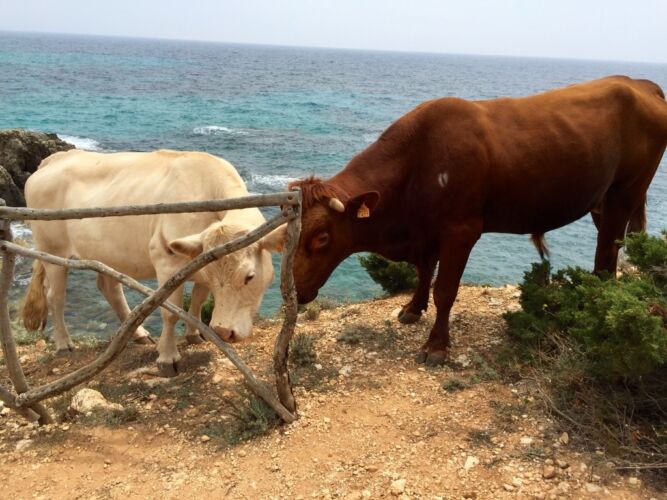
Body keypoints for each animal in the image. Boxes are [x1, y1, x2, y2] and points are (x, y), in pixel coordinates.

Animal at [21, 150, 284, 376]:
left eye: (249, 276)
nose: (222, 331)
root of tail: (54, 159)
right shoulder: (167, 263)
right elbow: (171, 313)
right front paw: (168, 358)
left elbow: (198, 300)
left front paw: (194, 334)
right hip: (53, 251)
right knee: (56, 296)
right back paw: (64, 343)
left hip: (105, 251)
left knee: (109, 289)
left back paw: (138, 334)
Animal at [288, 76, 667, 366]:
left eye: (322, 237)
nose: (295, 290)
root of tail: (638, 82)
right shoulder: (426, 230)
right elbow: (423, 272)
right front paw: (413, 309)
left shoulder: (461, 230)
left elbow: (445, 290)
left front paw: (436, 346)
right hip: (601, 200)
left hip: (626, 191)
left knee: (607, 249)